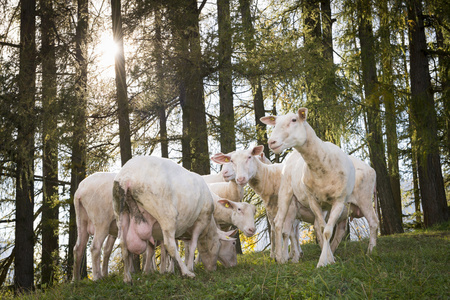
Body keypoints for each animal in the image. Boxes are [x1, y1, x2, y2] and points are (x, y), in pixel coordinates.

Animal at [262, 108, 356, 268]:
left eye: (294, 120)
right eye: (275, 122)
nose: (271, 142)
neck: (323, 166)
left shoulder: (338, 201)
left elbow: (326, 231)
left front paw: (328, 259)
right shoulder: (313, 200)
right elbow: (324, 230)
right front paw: (324, 261)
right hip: (286, 191)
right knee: (279, 222)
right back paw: (280, 258)